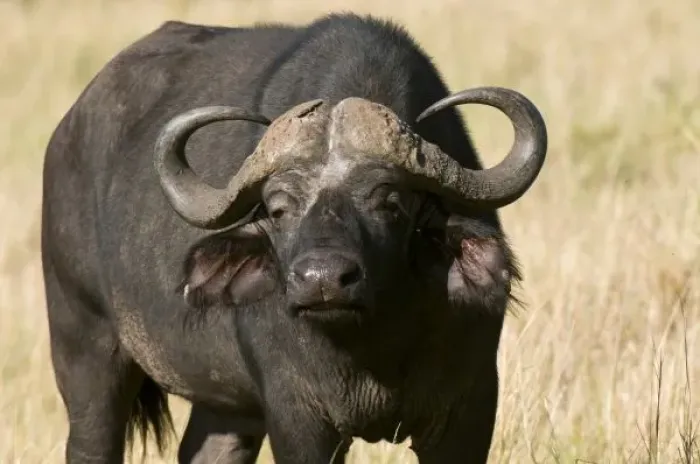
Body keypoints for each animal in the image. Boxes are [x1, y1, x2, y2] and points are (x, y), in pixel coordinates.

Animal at [41, 13, 547, 464]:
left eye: (391, 202)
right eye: (279, 208)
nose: (323, 280)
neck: (376, 342)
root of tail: (67, 132)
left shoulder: (468, 408)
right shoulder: (299, 416)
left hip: (227, 407)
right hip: (85, 350)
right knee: (91, 443)